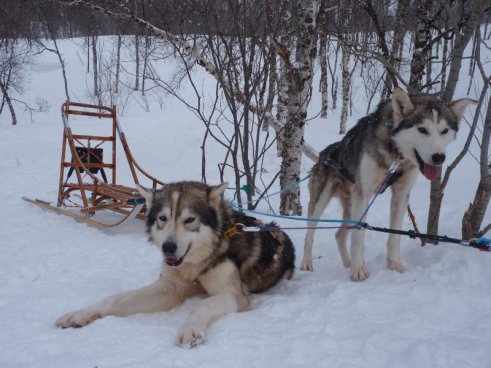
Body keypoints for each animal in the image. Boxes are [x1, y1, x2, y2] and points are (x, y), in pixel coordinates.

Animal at [57, 181, 296, 348]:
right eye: (163, 218)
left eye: (190, 220)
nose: (168, 247)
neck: (195, 265)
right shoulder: (171, 287)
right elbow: (115, 298)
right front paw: (81, 313)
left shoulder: (236, 295)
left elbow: (203, 304)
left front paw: (190, 329)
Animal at [302, 87, 474, 280]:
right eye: (422, 129)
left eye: (444, 131)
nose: (439, 157)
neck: (395, 152)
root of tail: (323, 156)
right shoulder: (363, 194)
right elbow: (358, 236)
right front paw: (358, 269)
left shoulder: (401, 193)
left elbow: (394, 235)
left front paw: (394, 264)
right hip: (320, 204)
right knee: (309, 235)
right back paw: (307, 263)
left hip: (350, 207)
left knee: (339, 235)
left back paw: (347, 262)